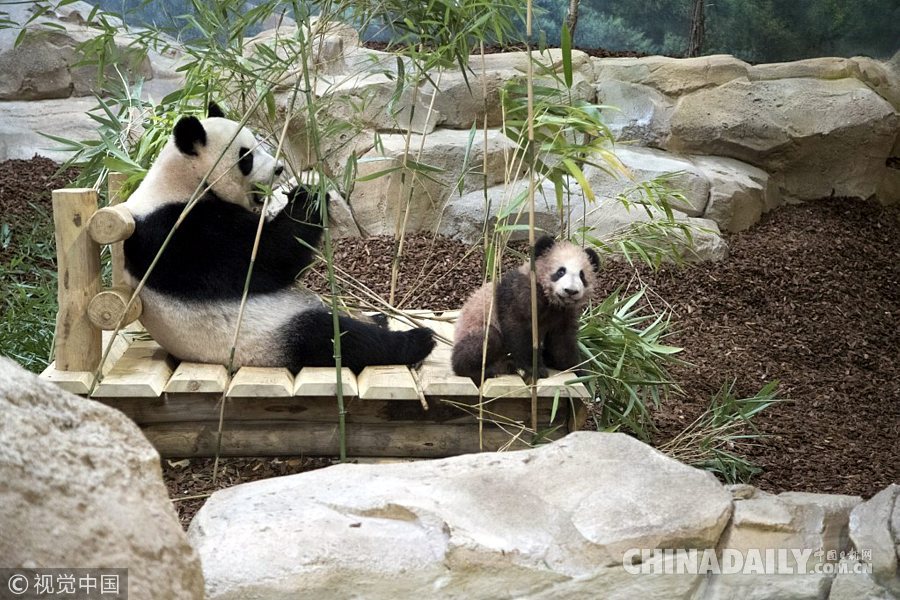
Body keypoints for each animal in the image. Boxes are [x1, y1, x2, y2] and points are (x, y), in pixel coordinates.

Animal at [123, 105, 436, 372]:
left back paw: (379, 318)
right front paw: (307, 195)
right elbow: (267, 259)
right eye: (246, 156)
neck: (179, 181)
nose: (279, 168)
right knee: (335, 339)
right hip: (267, 335)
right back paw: (416, 341)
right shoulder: (179, 231)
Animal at [454, 236, 600, 380]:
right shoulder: (519, 295)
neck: (551, 300)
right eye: (561, 271)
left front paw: (577, 368)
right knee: (486, 340)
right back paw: (490, 369)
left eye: (582, 275)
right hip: (474, 327)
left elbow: (562, 341)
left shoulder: (564, 313)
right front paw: (536, 369)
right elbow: (519, 331)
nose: (571, 291)